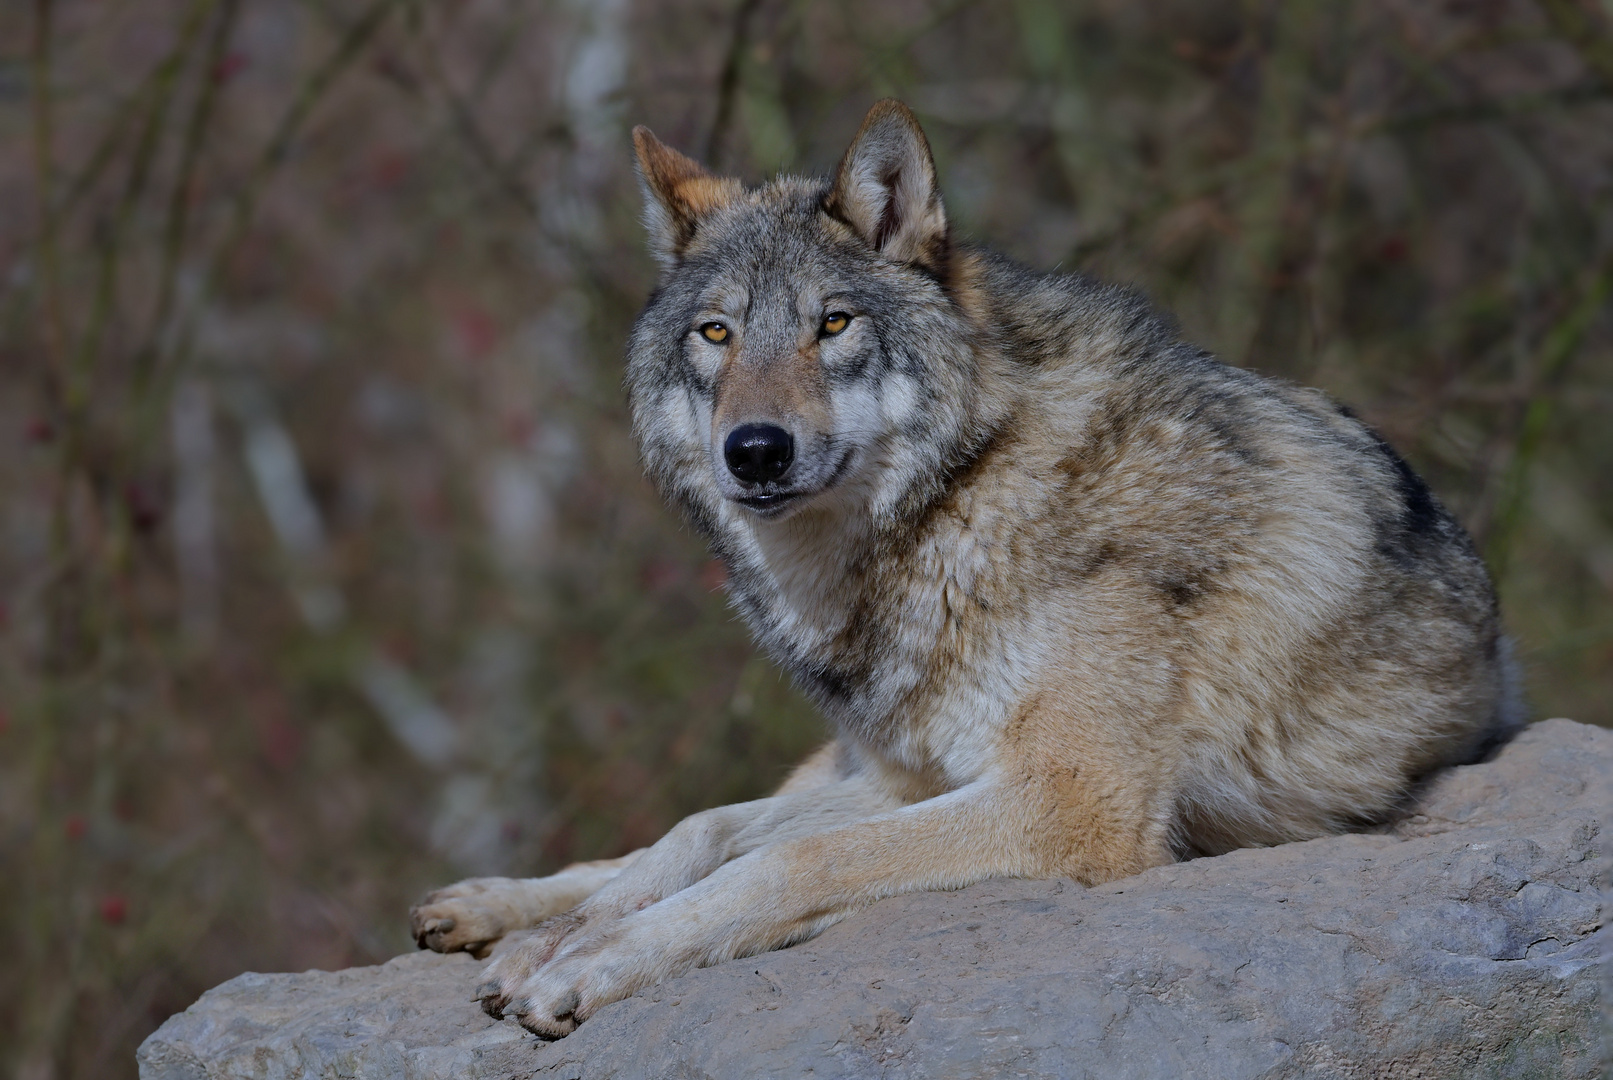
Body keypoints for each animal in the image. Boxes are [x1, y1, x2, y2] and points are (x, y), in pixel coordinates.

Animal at [409, 99, 1516, 1038]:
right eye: (715, 333)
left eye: (833, 324)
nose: (754, 451)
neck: (957, 504)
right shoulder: (913, 777)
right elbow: (704, 833)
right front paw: (553, 939)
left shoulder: (1065, 799)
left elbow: (783, 857)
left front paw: (588, 962)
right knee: (690, 826)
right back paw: (487, 910)